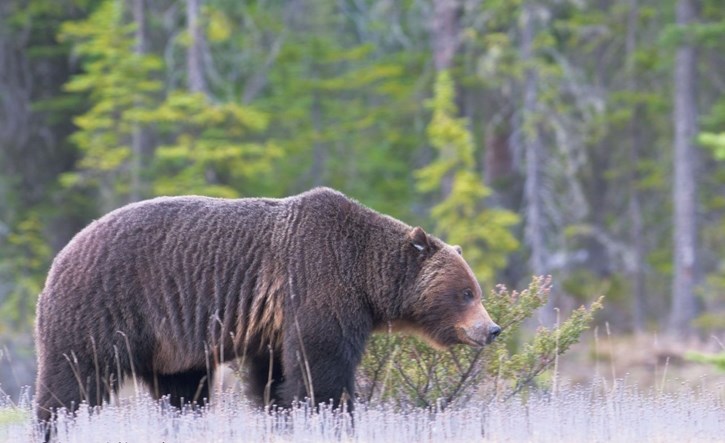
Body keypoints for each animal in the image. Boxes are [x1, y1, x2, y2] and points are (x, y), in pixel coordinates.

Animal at [34, 186, 498, 424]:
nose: (492, 329)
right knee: (73, 380)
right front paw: (332, 412)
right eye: (466, 292)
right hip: (106, 306)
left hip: (171, 344)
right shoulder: (316, 282)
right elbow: (322, 366)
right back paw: (56, 422)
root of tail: (61, 255)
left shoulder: (273, 322)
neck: (364, 275)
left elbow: (274, 377)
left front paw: (281, 411)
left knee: (184, 389)